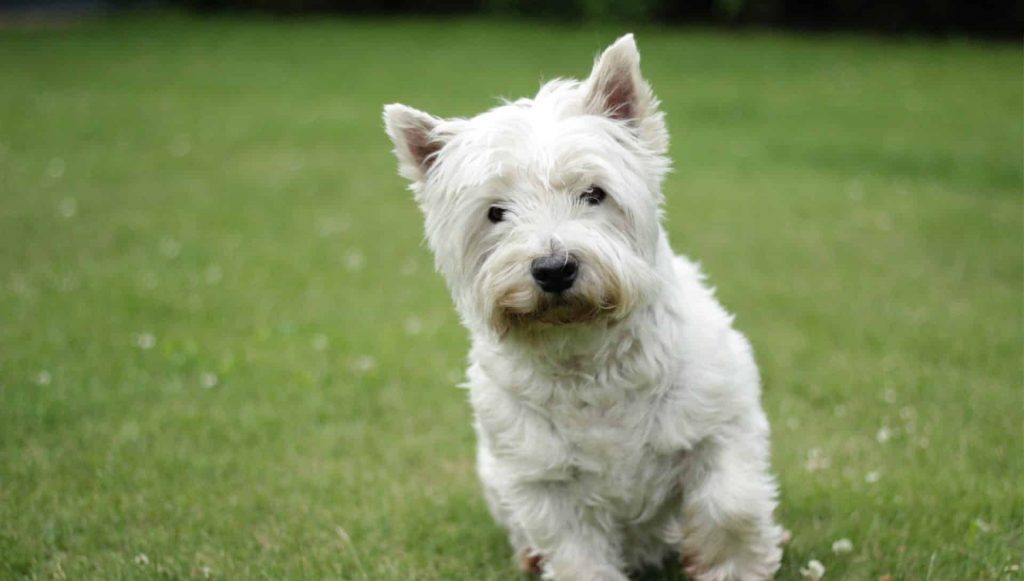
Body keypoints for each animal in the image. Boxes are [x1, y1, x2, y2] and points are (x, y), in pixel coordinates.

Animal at [385, 34, 782, 577]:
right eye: (495, 212)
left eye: (594, 193)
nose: (554, 269)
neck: (586, 352)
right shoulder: (544, 480)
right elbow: (575, 550)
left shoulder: (721, 424)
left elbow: (730, 505)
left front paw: (737, 567)